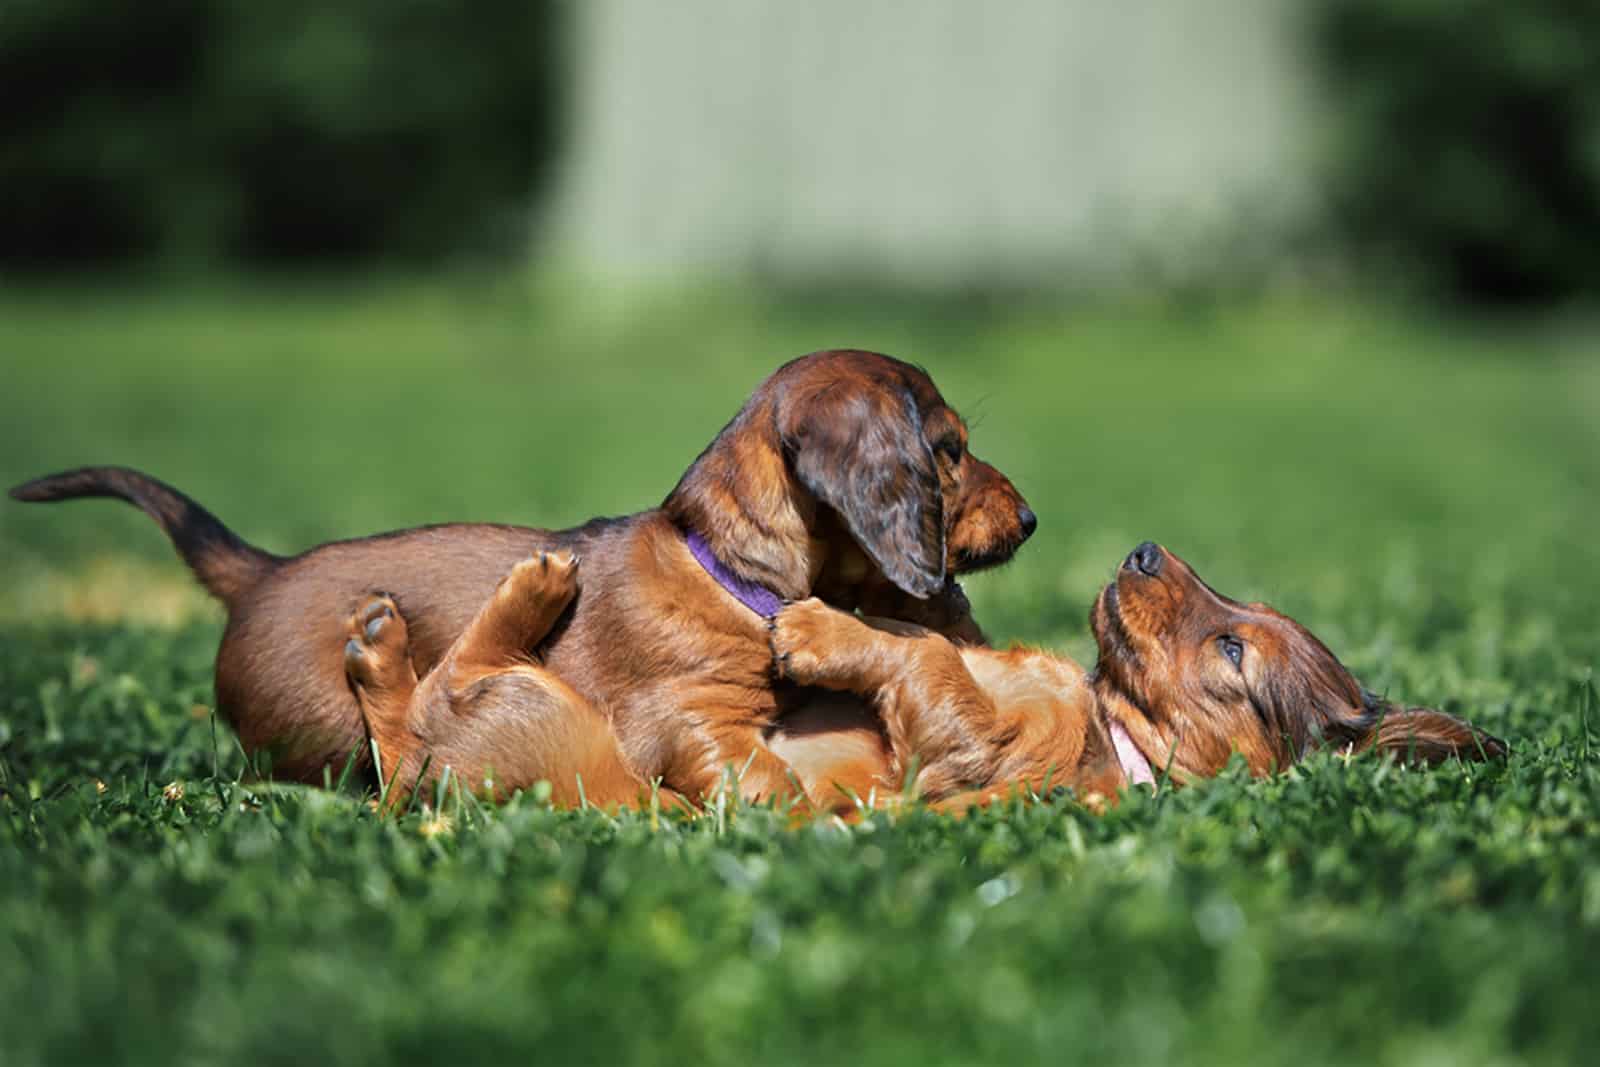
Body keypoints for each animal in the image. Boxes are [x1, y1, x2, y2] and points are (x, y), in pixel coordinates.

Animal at [9, 350, 1036, 799]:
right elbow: (763, 778)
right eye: (947, 451)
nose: (1030, 519)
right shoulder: (688, 719)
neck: (727, 573)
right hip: (332, 729)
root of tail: (261, 574)